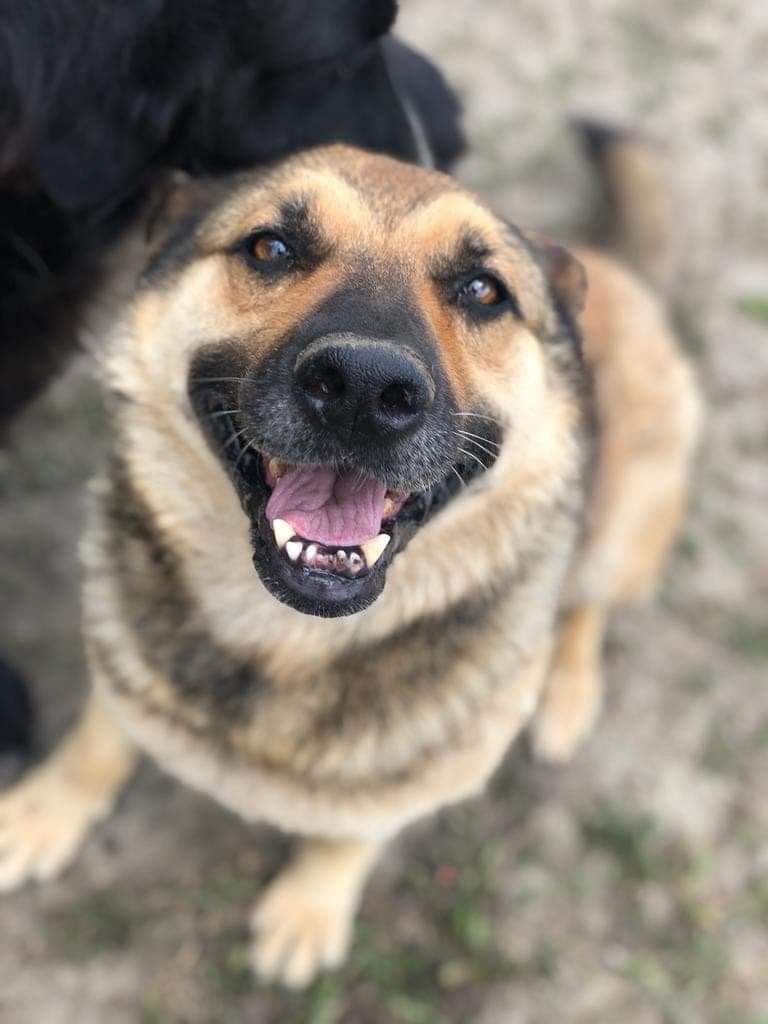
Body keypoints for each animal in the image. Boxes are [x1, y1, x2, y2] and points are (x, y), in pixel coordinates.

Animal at [0, 135, 700, 988]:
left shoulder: (424, 772)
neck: (283, 635)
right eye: (270, 247)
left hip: (623, 523)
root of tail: (622, 273)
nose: (366, 387)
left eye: (483, 290)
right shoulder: (123, 657)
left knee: (585, 608)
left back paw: (564, 696)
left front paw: (310, 908)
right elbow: (100, 736)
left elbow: (351, 834)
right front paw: (47, 810)